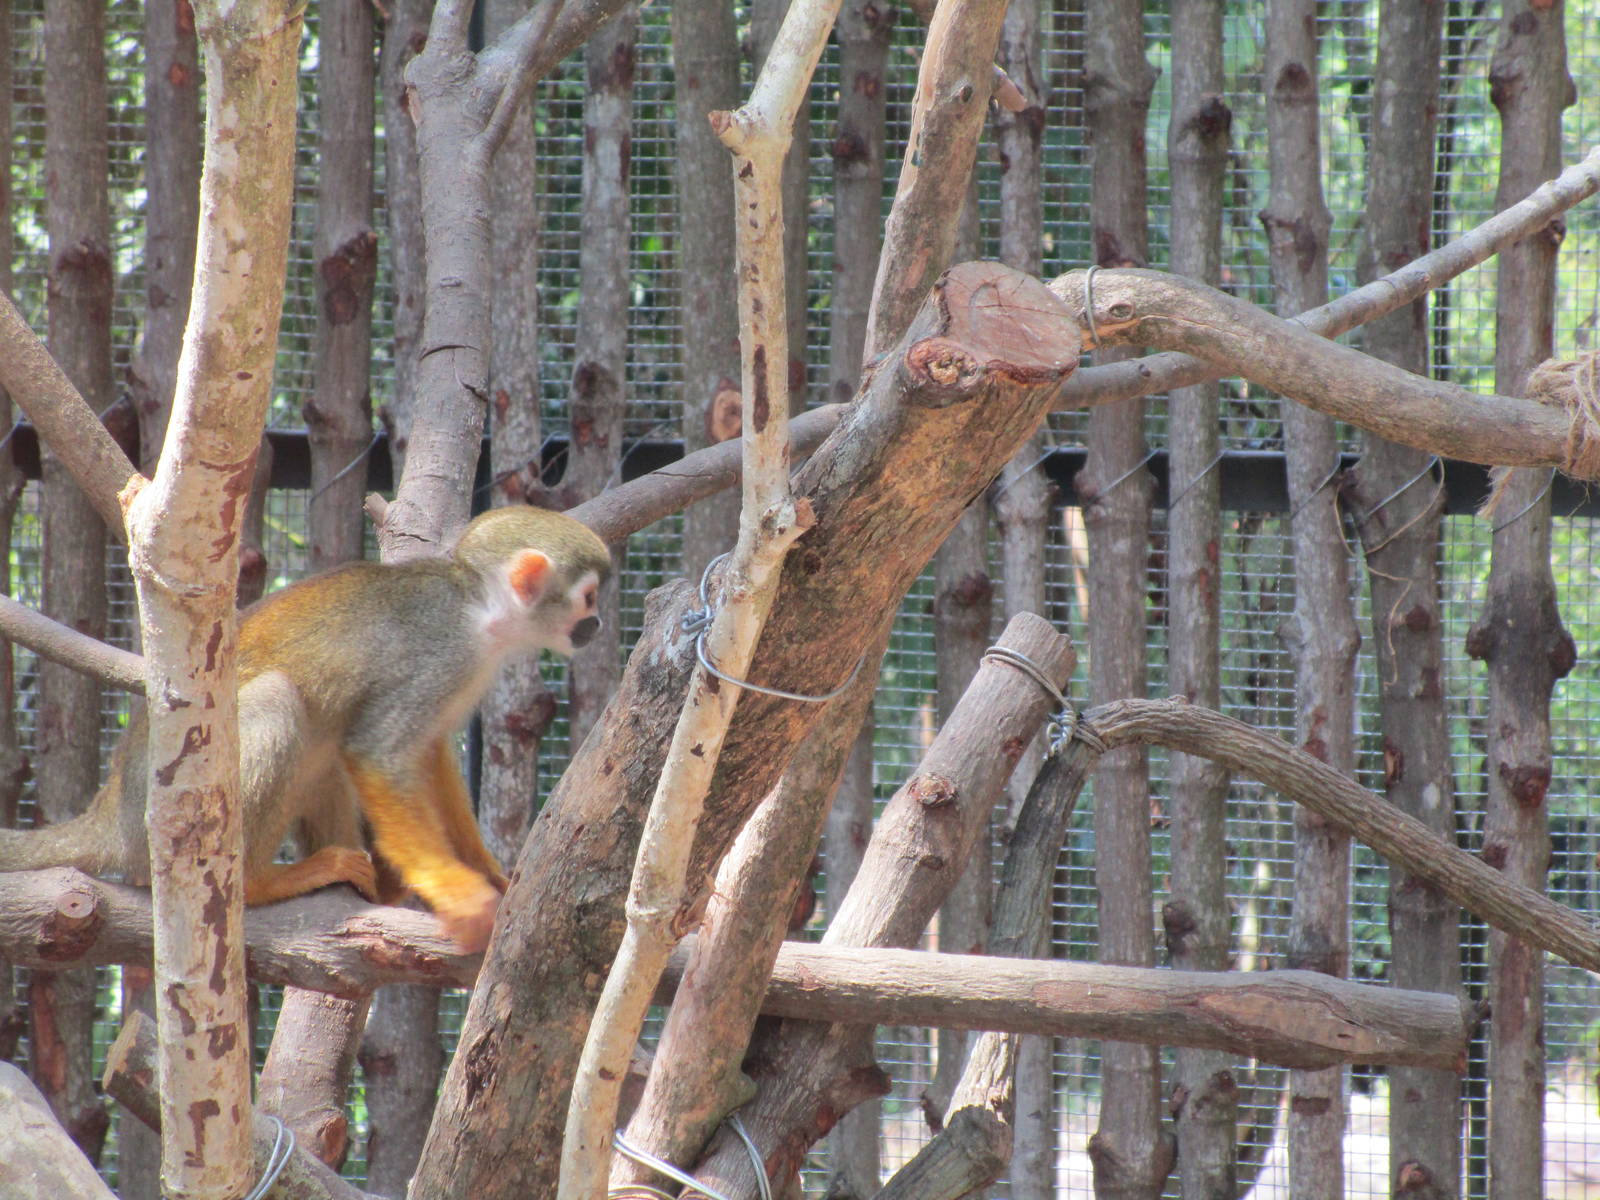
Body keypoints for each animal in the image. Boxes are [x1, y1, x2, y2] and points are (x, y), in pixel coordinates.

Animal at [0, 505, 611, 952]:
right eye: (588, 597)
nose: (600, 624)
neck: (477, 609)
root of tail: (111, 811)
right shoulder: (442, 653)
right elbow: (380, 755)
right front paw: (458, 893)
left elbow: (427, 753)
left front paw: (488, 873)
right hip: (161, 805)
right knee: (281, 701)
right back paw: (259, 882)